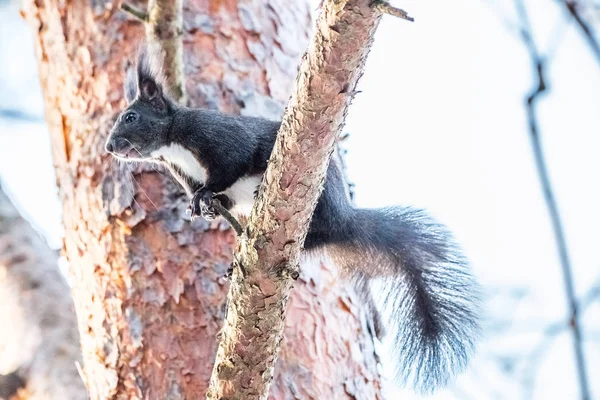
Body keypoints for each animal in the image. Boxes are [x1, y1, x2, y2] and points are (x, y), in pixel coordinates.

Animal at [105, 44, 480, 394]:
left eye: (131, 117)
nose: (109, 147)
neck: (173, 147)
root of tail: (344, 221)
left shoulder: (218, 136)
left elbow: (233, 163)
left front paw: (204, 196)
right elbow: (222, 196)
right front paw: (204, 205)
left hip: (321, 201)